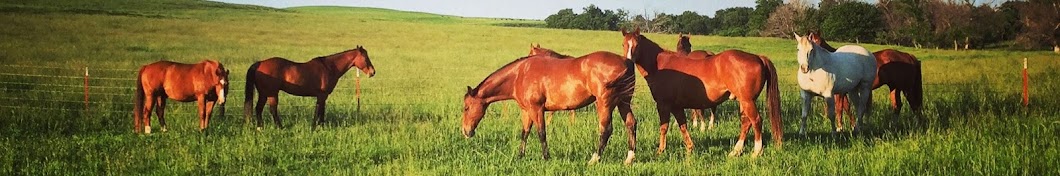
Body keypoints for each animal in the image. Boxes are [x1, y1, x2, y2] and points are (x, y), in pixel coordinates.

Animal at [243, 46, 377, 130]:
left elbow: (320, 111)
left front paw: (320, 126)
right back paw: (280, 127)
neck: (329, 67)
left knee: (258, 109)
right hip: (272, 94)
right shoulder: (322, 95)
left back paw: (260, 127)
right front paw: (316, 127)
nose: (372, 72)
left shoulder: (322, 96)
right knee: (272, 110)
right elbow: (319, 111)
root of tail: (260, 63)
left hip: (264, 94)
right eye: (365, 58)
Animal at [457, 50, 635, 164]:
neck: (519, 74)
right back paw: (629, 158)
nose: (466, 131)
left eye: (466, 108)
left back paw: (594, 159)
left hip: (604, 103)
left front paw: (546, 157)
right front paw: (520, 156)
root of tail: (627, 61)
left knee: (606, 129)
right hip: (623, 102)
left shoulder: (537, 110)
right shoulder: (527, 111)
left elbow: (541, 133)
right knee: (631, 124)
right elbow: (525, 133)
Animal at [619, 28, 784, 156]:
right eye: (623, 44)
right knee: (746, 122)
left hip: (747, 101)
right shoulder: (676, 106)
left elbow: (664, 127)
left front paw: (661, 150)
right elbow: (683, 126)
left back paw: (756, 152)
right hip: (744, 102)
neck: (660, 65)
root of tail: (758, 58)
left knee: (756, 121)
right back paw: (735, 151)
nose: (628, 62)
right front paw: (690, 148)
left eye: (637, 45)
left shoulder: (663, 104)